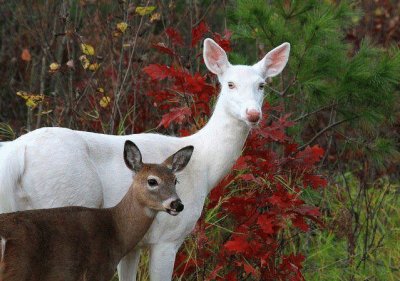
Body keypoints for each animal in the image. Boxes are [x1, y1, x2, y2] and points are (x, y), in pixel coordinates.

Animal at [0, 141, 192, 280]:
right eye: (152, 181)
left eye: (175, 181)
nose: (177, 204)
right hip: (17, 269)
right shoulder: (98, 271)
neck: (116, 230)